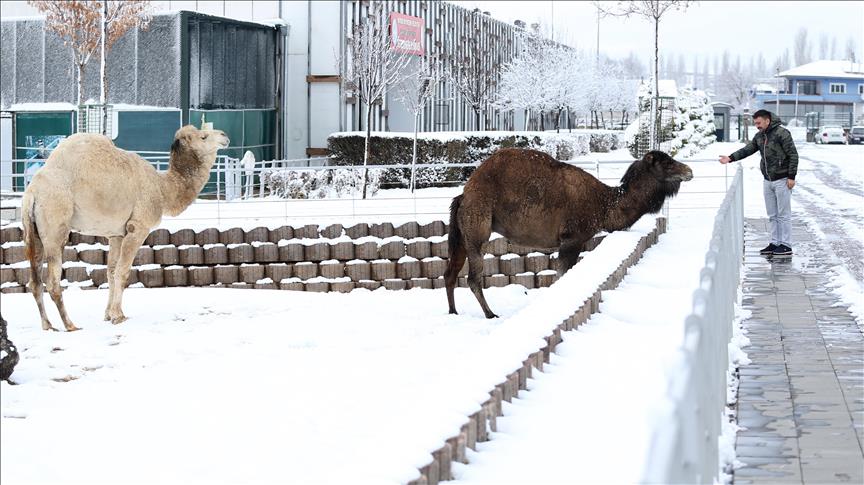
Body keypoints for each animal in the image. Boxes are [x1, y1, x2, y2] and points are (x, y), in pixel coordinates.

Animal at [22, 125, 230, 330]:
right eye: (203, 136)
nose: (224, 136)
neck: (162, 189)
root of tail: (32, 191)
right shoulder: (137, 227)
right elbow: (123, 271)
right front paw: (118, 316)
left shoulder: (116, 234)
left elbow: (111, 271)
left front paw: (108, 314)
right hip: (55, 221)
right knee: (52, 281)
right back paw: (70, 325)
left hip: (33, 230)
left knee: (34, 281)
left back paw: (47, 325)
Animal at [446, 149, 696, 320]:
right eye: (666, 163)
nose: (689, 171)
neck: (605, 205)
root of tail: (464, 195)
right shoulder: (572, 240)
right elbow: (562, 274)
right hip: (478, 227)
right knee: (472, 277)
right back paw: (490, 314)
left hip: (462, 232)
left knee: (450, 273)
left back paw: (453, 311)